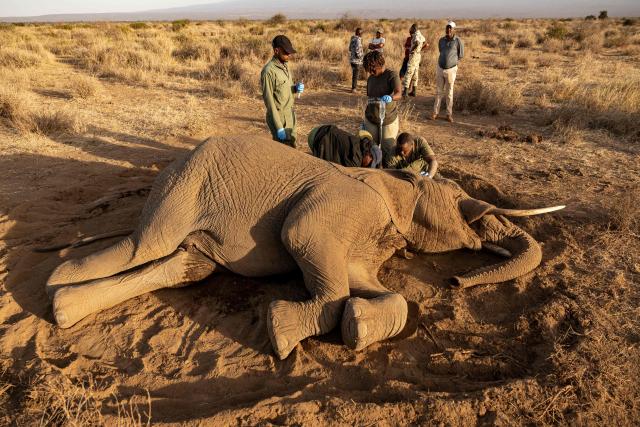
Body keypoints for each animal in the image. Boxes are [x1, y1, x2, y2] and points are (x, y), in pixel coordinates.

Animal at [46, 136, 564, 360]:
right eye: (459, 200)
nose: (456, 280)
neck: (392, 181)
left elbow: (373, 288)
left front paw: (358, 325)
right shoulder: (342, 207)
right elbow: (302, 237)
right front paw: (281, 333)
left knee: (184, 266)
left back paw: (64, 309)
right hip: (184, 185)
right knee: (143, 245)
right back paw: (57, 278)